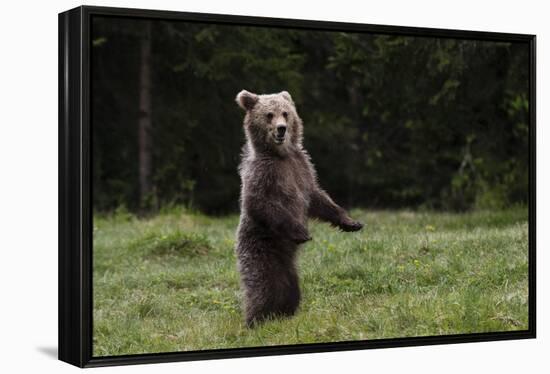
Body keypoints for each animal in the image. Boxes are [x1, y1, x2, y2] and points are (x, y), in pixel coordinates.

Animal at [235, 90, 364, 328]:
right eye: (269, 114)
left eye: (285, 113)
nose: (281, 128)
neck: (281, 155)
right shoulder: (264, 175)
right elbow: (260, 203)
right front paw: (302, 232)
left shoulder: (302, 168)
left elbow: (318, 199)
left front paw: (351, 222)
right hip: (261, 248)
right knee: (263, 287)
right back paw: (254, 320)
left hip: (288, 266)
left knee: (290, 289)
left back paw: (286, 313)